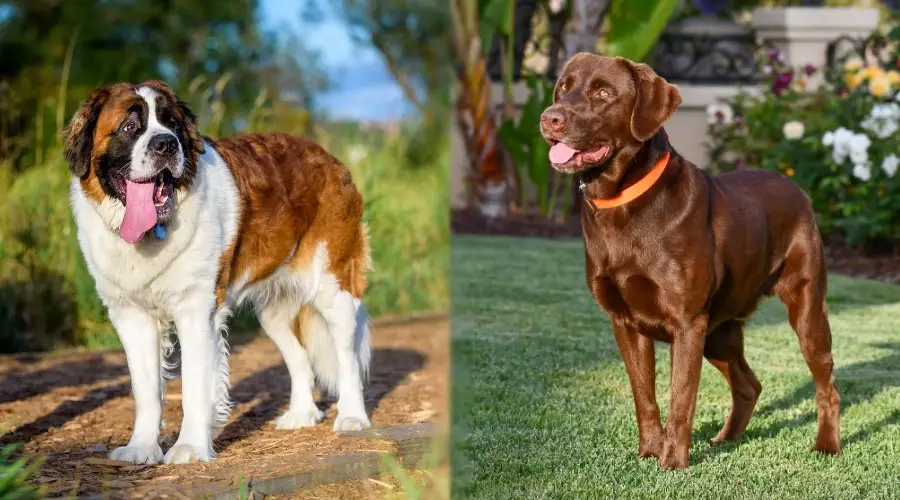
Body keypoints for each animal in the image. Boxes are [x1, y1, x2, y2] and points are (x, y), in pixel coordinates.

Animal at [64, 81, 372, 464]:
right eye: (129, 127)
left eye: (173, 124)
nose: (166, 144)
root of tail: (329, 158)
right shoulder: (131, 316)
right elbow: (145, 389)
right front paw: (141, 448)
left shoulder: (196, 311)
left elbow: (195, 385)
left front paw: (190, 447)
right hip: (273, 312)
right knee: (299, 356)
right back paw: (301, 414)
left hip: (334, 287)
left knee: (347, 355)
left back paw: (352, 416)